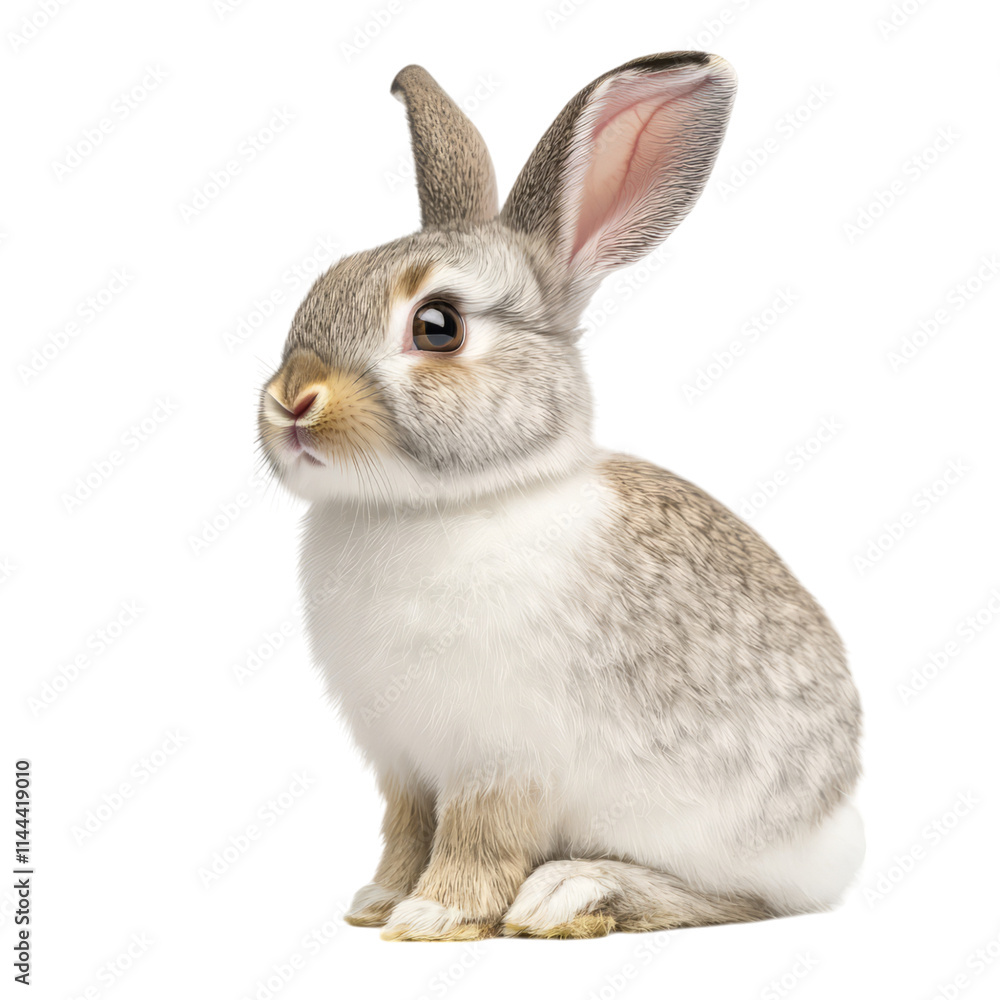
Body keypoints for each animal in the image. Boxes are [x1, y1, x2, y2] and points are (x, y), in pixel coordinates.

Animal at [257, 51, 864, 941]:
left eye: (437, 326)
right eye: (322, 284)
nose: (292, 401)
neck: (440, 503)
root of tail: (839, 830)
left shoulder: (499, 757)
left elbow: (477, 836)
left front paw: (433, 914)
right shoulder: (404, 763)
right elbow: (406, 829)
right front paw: (377, 902)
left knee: (744, 900)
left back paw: (573, 893)